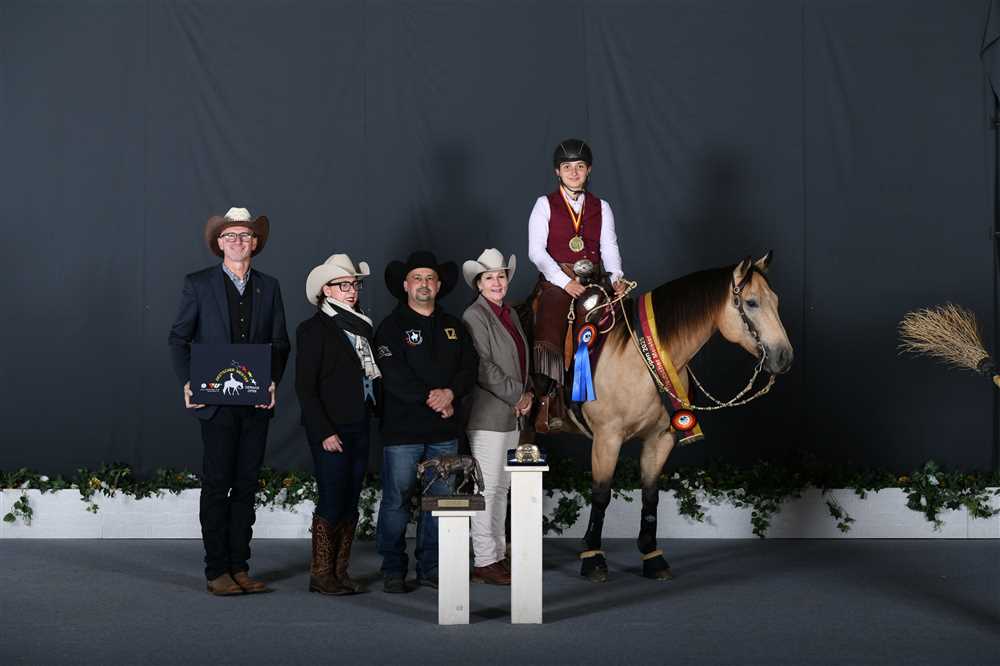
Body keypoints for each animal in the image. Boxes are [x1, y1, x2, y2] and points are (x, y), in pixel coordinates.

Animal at [546, 252, 793, 582]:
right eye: (751, 303)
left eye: (775, 301)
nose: (784, 357)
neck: (639, 359)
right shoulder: (606, 439)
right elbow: (600, 495)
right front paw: (593, 558)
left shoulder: (660, 439)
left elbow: (651, 496)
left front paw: (652, 557)